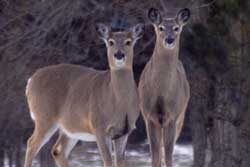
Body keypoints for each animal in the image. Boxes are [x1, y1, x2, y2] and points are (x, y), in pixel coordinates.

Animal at [24, 22, 145, 167]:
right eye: (111, 42)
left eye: (128, 42)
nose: (119, 54)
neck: (119, 103)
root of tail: (30, 82)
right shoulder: (99, 127)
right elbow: (108, 161)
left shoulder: (124, 132)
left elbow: (120, 162)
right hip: (44, 117)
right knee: (31, 143)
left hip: (70, 128)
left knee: (57, 150)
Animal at [140, 7, 190, 166]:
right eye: (160, 27)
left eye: (176, 28)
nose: (169, 39)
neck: (161, 93)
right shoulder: (149, 117)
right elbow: (155, 156)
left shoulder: (172, 116)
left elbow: (168, 155)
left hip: (182, 117)